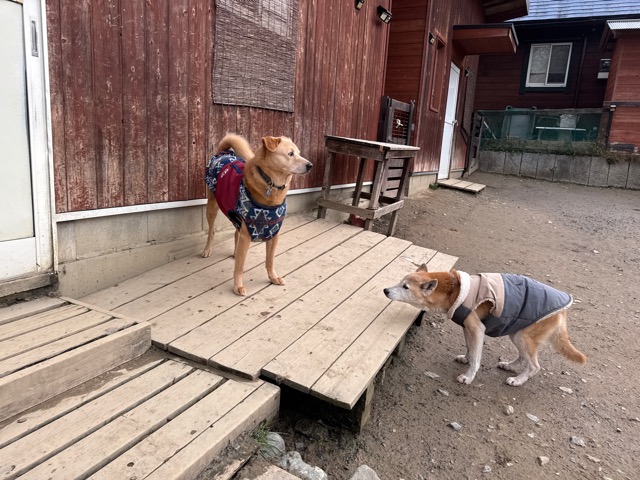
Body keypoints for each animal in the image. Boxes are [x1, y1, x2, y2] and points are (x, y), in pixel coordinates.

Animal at [203, 133, 312, 296]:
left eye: (299, 153)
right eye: (290, 154)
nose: (310, 165)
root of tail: (223, 152)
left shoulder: (274, 233)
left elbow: (270, 260)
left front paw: (273, 277)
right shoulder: (246, 234)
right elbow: (240, 266)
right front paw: (238, 286)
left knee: (235, 232)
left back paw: (235, 252)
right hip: (212, 206)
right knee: (211, 231)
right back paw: (207, 249)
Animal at [384, 265, 587, 386]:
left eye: (405, 287)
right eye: (399, 282)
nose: (385, 290)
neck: (454, 290)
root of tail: (563, 312)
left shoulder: (476, 329)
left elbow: (476, 357)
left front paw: (468, 376)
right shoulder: (467, 328)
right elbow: (470, 349)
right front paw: (465, 359)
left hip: (523, 336)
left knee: (534, 366)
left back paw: (518, 380)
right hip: (517, 334)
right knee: (523, 357)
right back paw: (509, 365)